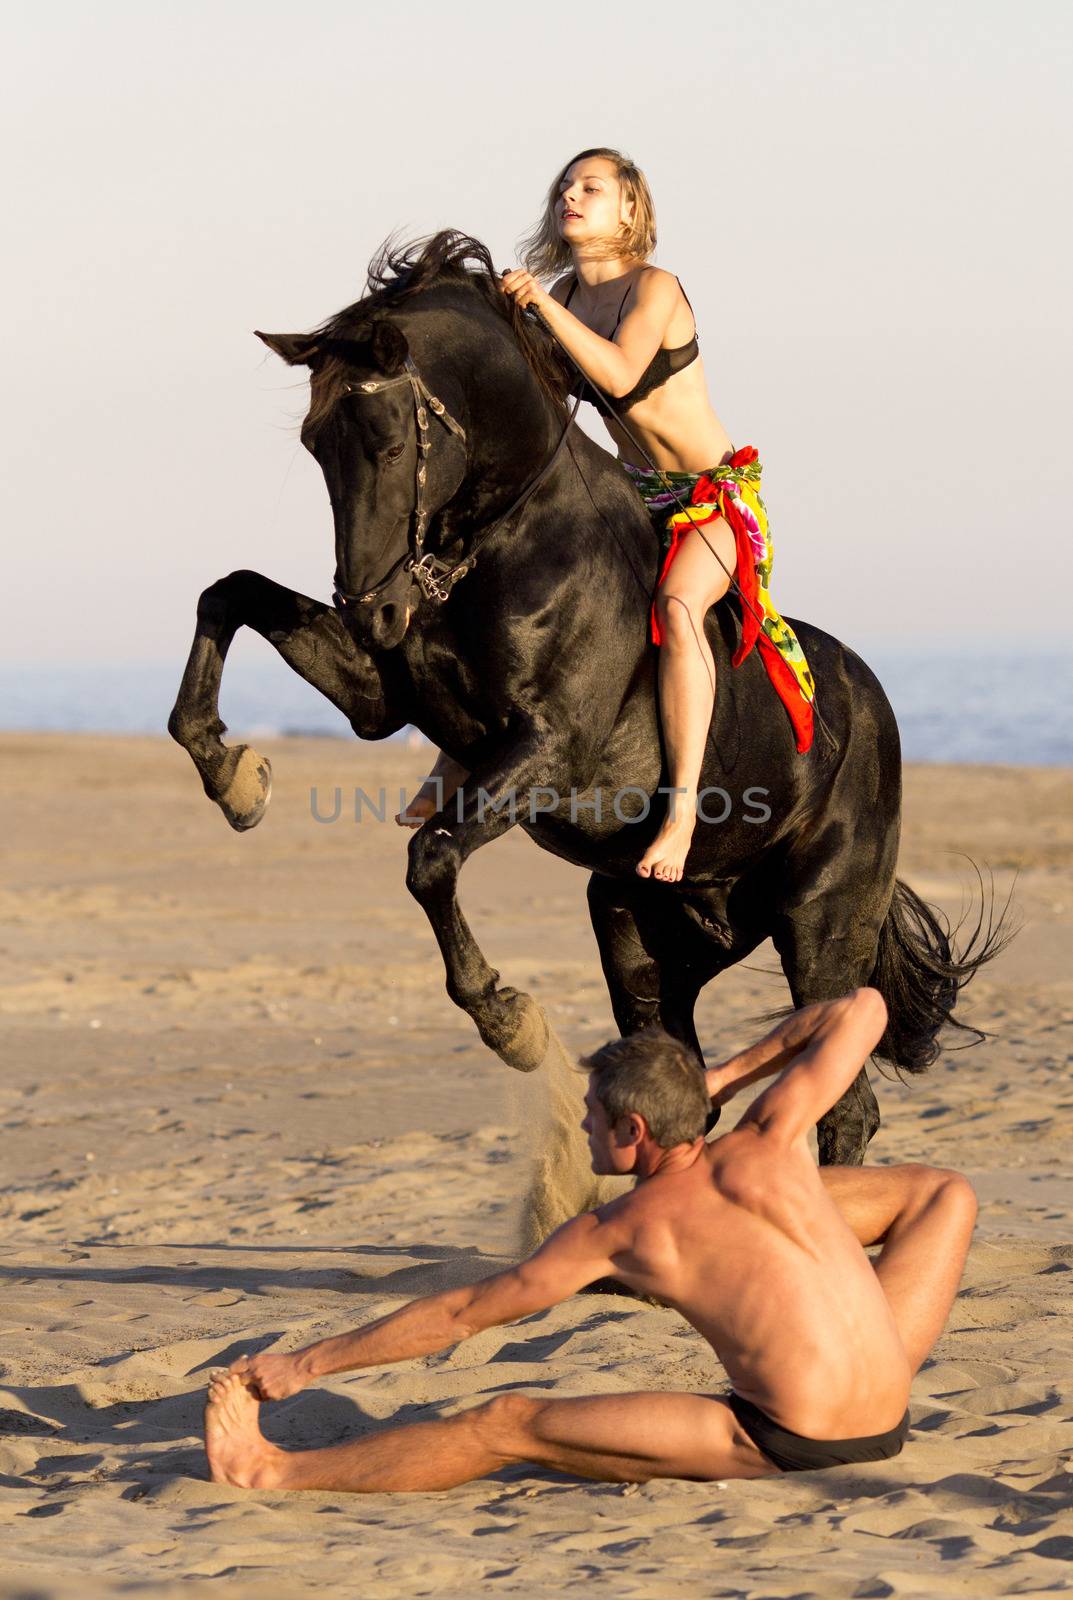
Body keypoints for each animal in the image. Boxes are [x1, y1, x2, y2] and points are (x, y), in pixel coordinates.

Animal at [170, 232, 1010, 1164]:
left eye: (387, 443)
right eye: (316, 444)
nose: (372, 610)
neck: (511, 540)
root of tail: (872, 710)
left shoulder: (547, 747)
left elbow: (432, 856)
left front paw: (508, 1020)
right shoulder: (384, 703)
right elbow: (230, 593)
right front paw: (231, 776)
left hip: (821, 928)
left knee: (845, 1105)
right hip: (645, 935)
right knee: (686, 1085)